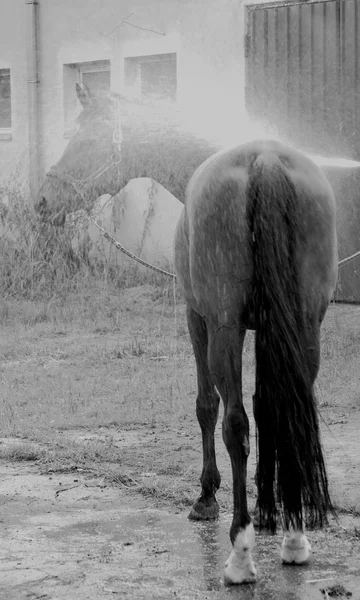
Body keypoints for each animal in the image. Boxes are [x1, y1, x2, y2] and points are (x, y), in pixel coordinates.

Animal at [174, 138, 338, 584]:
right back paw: (294, 536)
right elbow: (270, 410)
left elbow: (207, 406)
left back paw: (240, 552)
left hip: (224, 329)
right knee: (292, 413)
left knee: (235, 423)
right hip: (305, 325)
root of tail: (263, 158)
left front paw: (207, 495)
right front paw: (270, 512)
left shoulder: (197, 319)